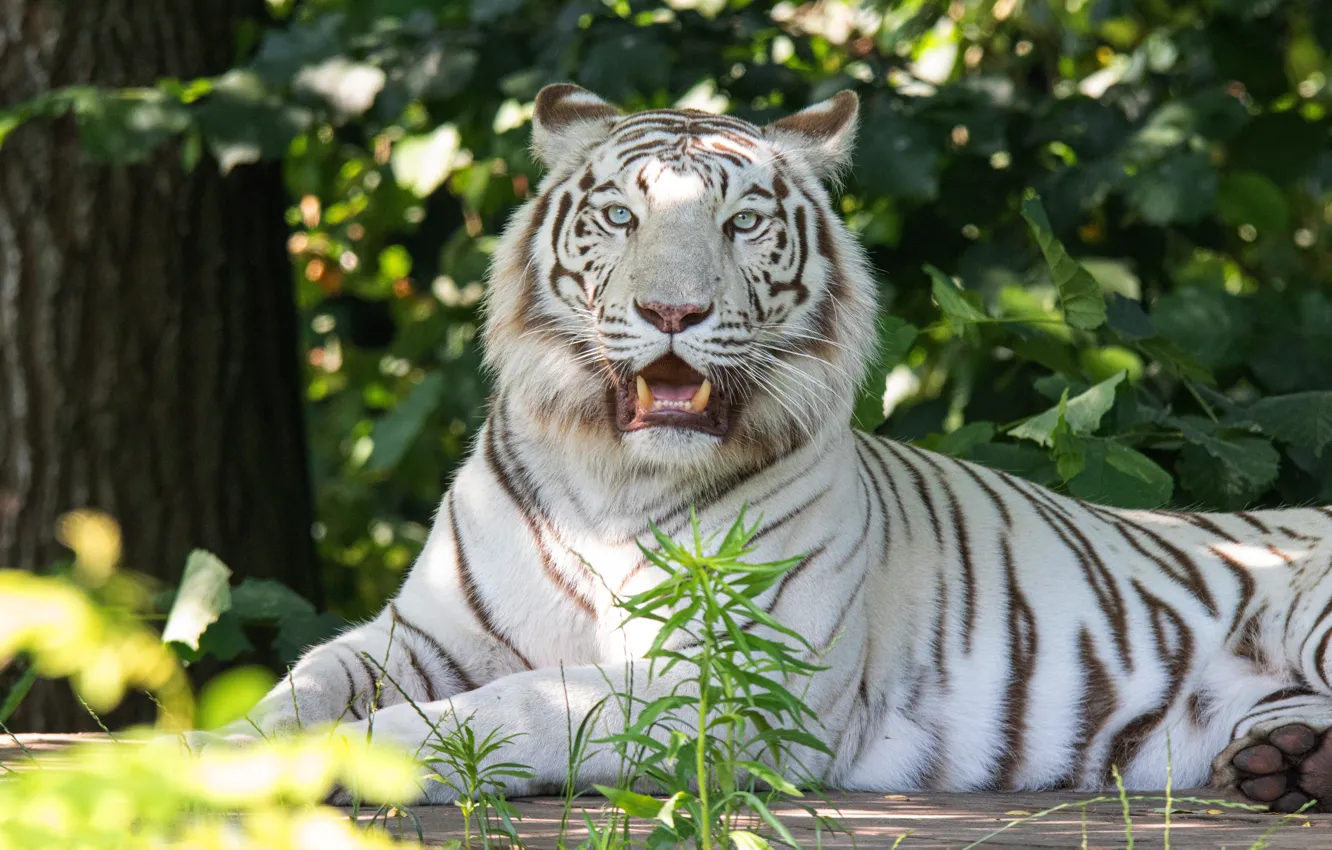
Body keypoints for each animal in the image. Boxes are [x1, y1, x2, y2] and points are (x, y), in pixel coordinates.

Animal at [192, 84, 1332, 814]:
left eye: (742, 224)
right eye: (619, 216)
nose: (672, 311)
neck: (609, 480)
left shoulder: (732, 679)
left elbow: (514, 707)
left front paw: (345, 761)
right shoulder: (420, 633)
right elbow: (305, 680)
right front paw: (210, 751)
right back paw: (1285, 765)